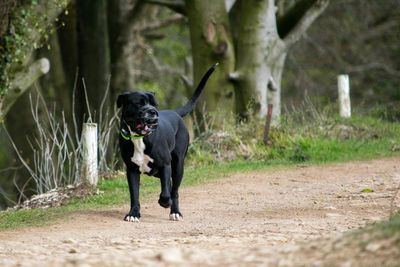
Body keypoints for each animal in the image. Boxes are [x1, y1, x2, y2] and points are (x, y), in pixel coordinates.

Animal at [116, 63, 216, 223]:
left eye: (155, 105)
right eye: (139, 103)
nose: (153, 112)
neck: (139, 138)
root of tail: (175, 112)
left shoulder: (165, 165)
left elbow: (166, 193)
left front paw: (164, 202)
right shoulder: (131, 170)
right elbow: (134, 195)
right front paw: (133, 213)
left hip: (178, 165)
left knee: (174, 190)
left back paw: (175, 211)